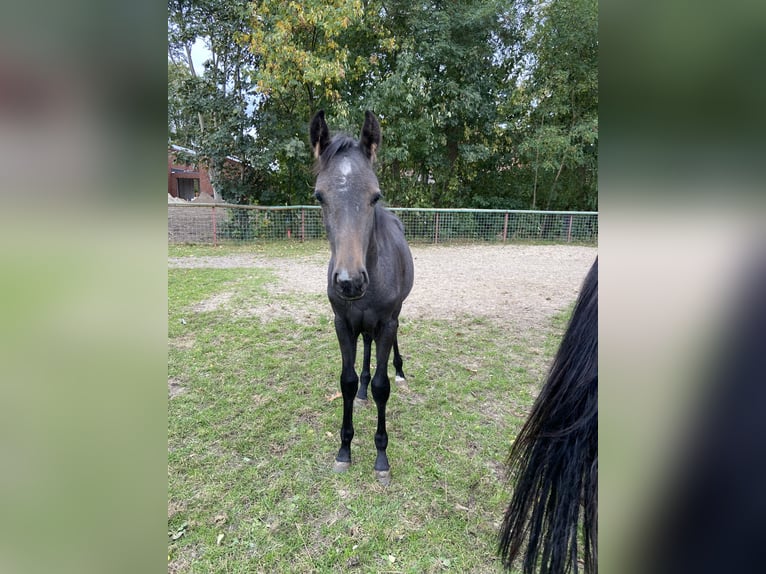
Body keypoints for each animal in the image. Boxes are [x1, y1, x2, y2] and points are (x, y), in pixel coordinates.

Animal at [309, 110, 414, 486]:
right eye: (320, 196)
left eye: (375, 196)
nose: (350, 282)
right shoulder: (342, 323)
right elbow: (347, 380)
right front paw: (344, 450)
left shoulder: (386, 321)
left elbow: (383, 386)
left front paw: (381, 458)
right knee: (366, 347)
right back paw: (363, 393)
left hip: (395, 315)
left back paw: (400, 370)